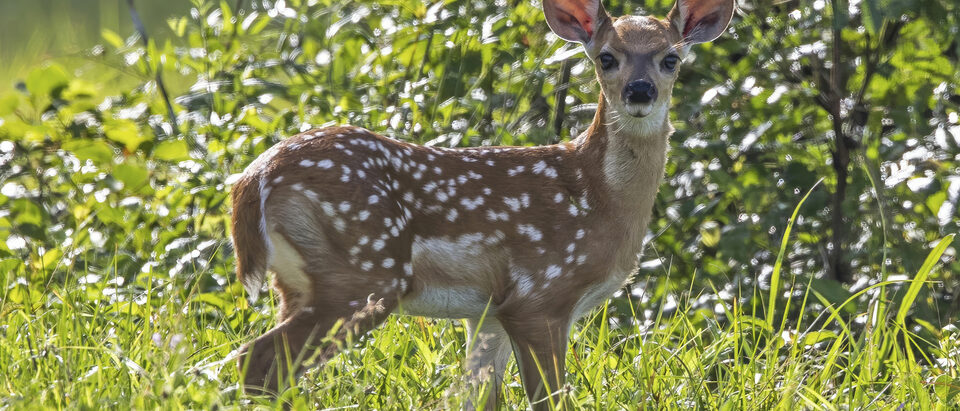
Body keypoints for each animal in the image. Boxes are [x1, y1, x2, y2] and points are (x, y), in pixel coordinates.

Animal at [230, 0, 734, 408]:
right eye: (606, 57)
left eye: (671, 58)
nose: (640, 91)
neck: (600, 198)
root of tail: (253, 179)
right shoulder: (541, 295)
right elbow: (549, 400)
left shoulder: (489, 312)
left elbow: (473, 396)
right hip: (361, 273)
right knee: (257, 360)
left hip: (301, 282)